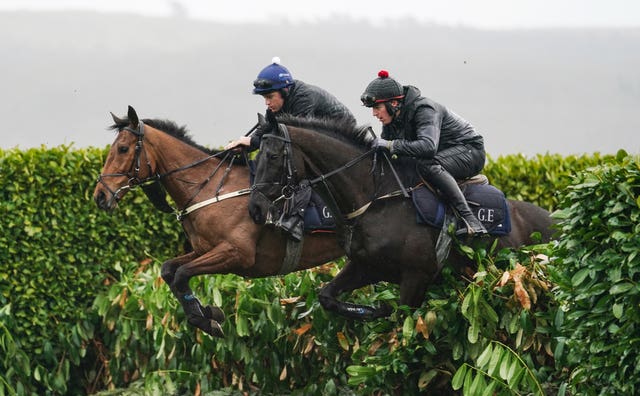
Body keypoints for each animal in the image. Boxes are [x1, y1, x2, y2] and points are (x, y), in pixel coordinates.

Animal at [92, 106, 344, 338]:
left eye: (122, 148)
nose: (100, 196)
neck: (211, 190)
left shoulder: (237, 253)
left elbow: (182, 273)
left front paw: (206, 317)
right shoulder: (204, 249)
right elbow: (168, 270)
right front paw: (207, 314)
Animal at [246, 116, 556, 320]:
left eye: (272, 156)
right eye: (257, 155)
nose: (255, 209)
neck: (375, 200)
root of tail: (556, 220)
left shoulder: (415, 277)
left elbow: (401, 325)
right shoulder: (367, 266)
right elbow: (327, 297)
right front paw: (374, 310)